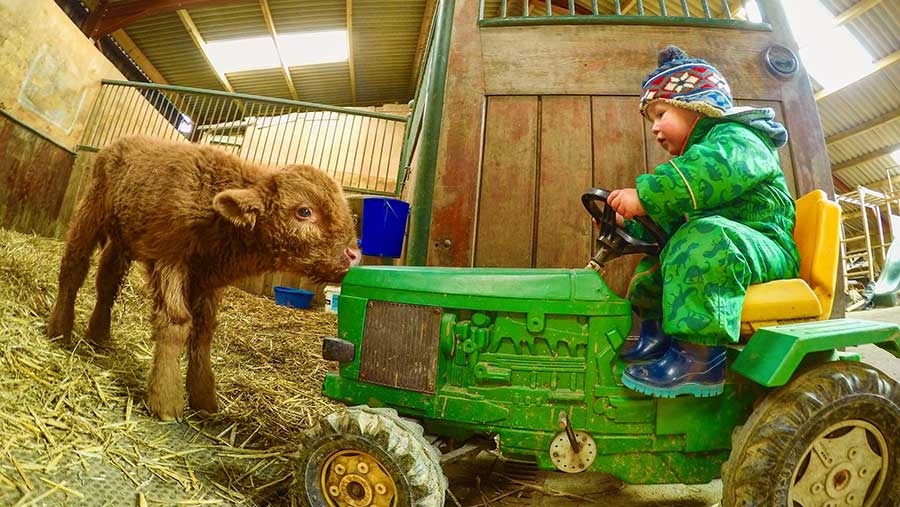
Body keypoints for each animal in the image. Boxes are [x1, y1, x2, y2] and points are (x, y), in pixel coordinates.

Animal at [48, 135, 358, 420]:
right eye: (304, 211)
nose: (353, 254)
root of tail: (119, 143)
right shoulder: (170, 261)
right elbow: (176, 322)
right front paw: (166, 399)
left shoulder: (209, 280)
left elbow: (204, 330)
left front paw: (204, 397)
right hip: (92, 211)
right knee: (74, 267)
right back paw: (59, 330)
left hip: (123, 238)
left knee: (107, 281)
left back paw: (98, 336)